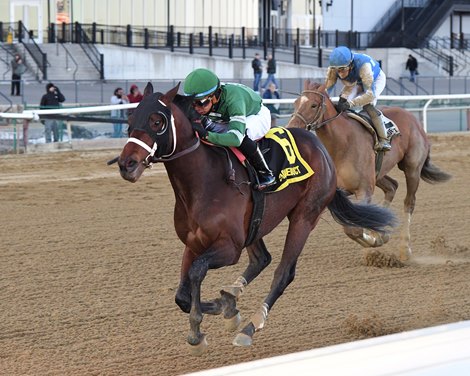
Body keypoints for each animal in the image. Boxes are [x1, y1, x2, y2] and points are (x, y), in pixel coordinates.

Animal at [114, 82, 396, 356]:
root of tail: (321, 149)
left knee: (283, 273)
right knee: (262, 259)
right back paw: (232, 297)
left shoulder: (230, 248)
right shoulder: (194, 243)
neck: (202, 183)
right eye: (130, 119)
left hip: (305, 217)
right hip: (257, 224)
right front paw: (225, 307)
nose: (126, 164)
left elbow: (196, 272)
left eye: (157, 121)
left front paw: (199, 331)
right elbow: (182, 296)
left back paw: (250, 326)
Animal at [288, 79, 450, 262]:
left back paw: (405, 248)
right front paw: (378, 235)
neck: (342, 144)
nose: (292, 127)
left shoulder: (364, 189)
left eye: (313, 105)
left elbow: (354, 228)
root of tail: (413, 120)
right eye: (295, 103)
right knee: (392, 186)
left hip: (412, 168)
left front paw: (376, 238)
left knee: (409, 202)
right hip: (378, 173)